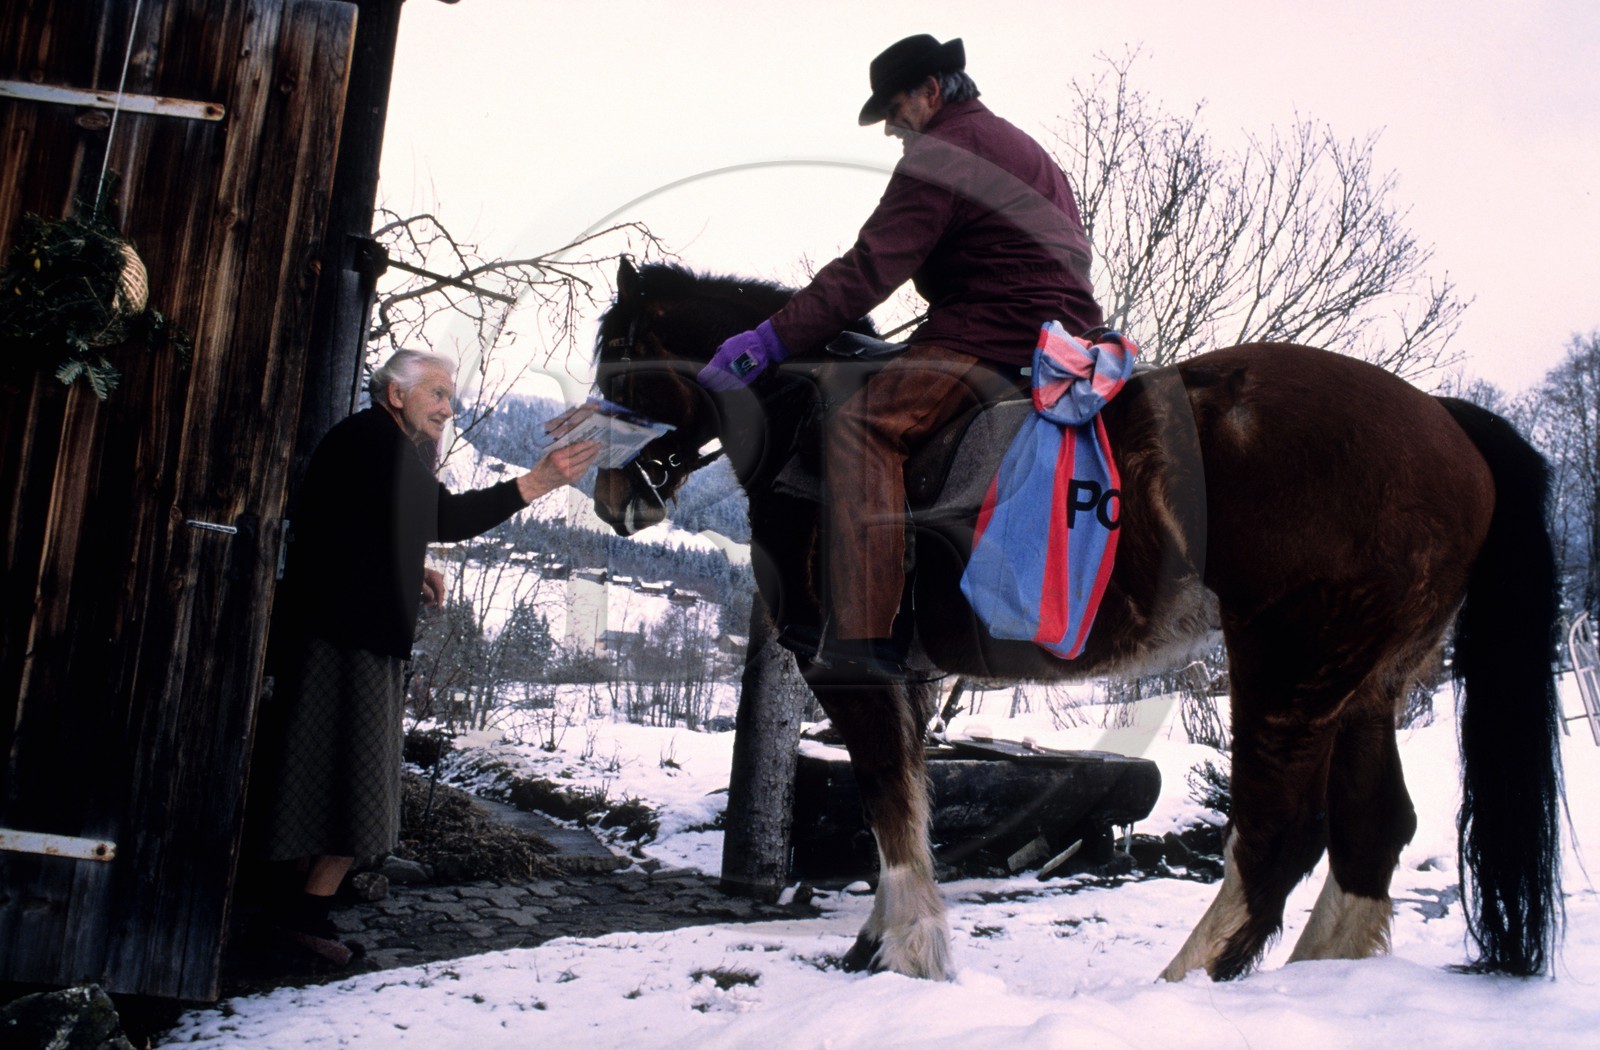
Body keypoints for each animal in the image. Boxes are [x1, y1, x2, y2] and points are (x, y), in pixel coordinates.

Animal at [590, 257, 1564, 983]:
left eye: (618, 354)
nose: (609, 493)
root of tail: (1444, 421)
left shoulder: (850, 670)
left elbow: (887, 804)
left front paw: (913, 952)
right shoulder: (904, 678)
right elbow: (906, 799)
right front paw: (883, 938)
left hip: (1291, 665)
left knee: (1278, 837)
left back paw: (1185, 982)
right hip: (1367, 680)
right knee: (1374, 826)